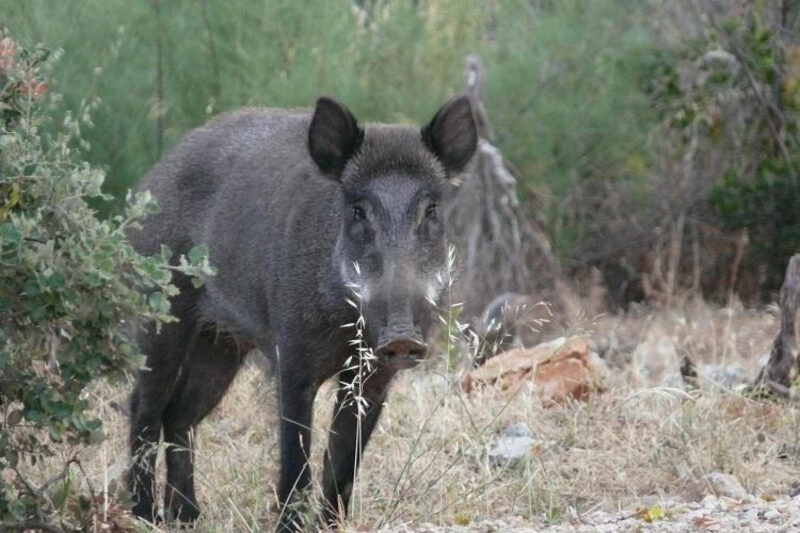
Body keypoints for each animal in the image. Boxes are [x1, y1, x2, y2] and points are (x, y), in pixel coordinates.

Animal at [126, 95, 477, 530]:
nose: (401, 337)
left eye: (431, 209)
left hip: (222, 343)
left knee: (179, 415)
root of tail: (151, 179)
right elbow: (296, 458)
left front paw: (330, 524)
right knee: (144, 407)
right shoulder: (292, 357)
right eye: (357, 210)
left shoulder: (372, 377)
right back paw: (144, 515)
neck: (346, 327)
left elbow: (343, 461)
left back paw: (188, 517)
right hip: (160, 316)